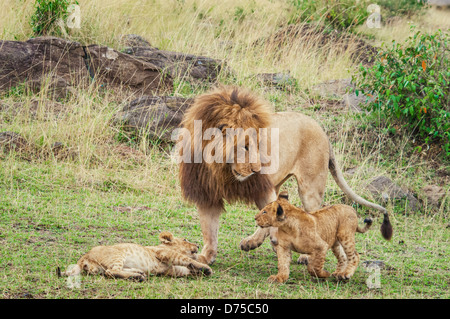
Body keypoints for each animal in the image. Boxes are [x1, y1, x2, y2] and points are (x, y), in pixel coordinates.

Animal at [178, 85, 388, 264]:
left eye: (258, 144)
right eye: (245, 146)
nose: (256, 169)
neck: (221, 168)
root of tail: (321, 129)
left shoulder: (261, 186)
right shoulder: (206, 192)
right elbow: (209, 228)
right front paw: (207, 256)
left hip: (309, 188)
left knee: (313, 219)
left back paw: (304, 254)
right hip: (277, 183)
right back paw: (252, 242)